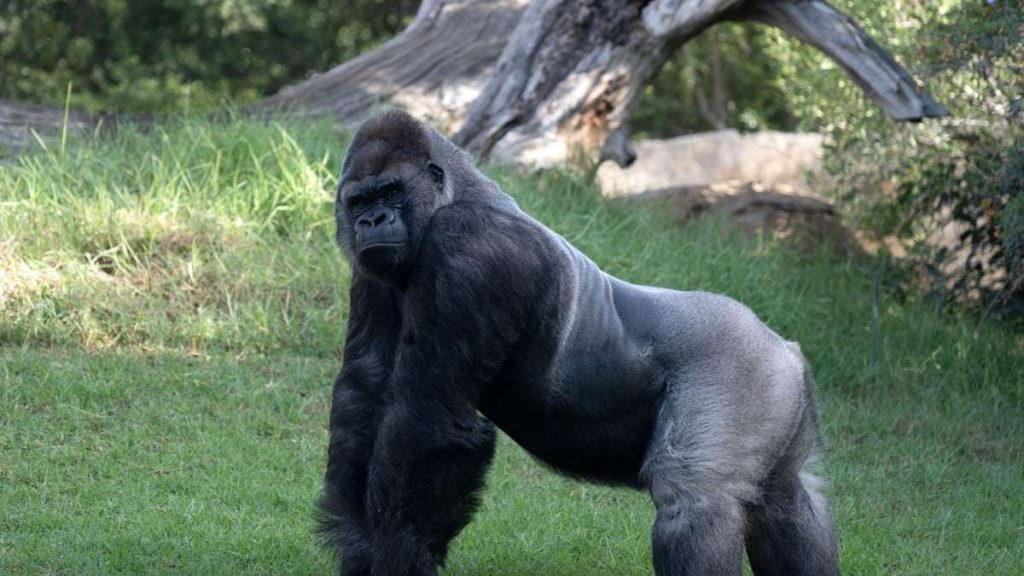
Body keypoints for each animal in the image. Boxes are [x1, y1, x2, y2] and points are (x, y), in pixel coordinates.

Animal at [319, 109, 840, 576]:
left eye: (392, 191)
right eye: (360, 201)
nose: (373, 219)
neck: (455, 194)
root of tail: (786, 349)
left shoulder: (471, 245)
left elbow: (428, 420)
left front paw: (397, 552)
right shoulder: (373, 271)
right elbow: (364, 394)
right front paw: (359, 544)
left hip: (740, 365)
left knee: (696, 502)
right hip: (778, 391)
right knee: (787, 499)